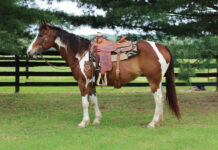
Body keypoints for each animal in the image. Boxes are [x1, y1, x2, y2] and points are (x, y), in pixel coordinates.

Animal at [26, 21, 181, 128]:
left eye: (40, 35)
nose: (28, 52)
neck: (81, 53)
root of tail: (162, 46)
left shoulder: (83, 82)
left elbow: (84, 103)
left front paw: (84, 122)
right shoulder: (92, 83)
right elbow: (94, 101)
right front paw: (96, 120)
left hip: (153, 79)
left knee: (158, 98)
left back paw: (153, 123)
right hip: (158, 80)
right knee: (162, 96)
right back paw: (159, 121)